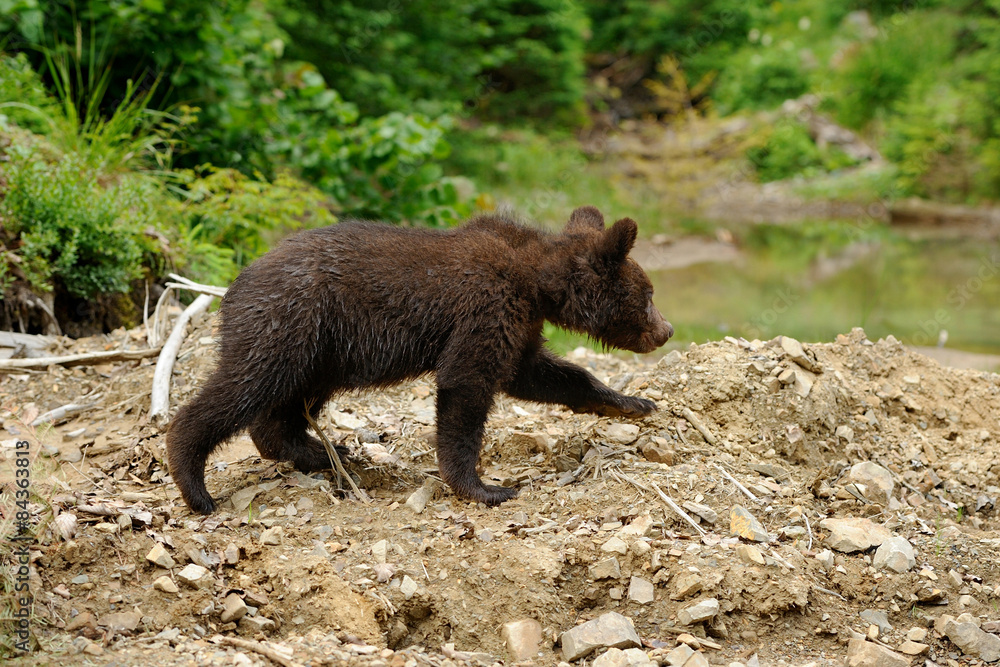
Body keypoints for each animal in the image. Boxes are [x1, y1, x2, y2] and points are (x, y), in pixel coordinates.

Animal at [166, 206, 673, 514]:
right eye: (648, 294)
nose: (666, 330)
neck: (536, 284)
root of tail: (236, 282)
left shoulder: (519, 326)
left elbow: (542, 374)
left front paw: (630, 402)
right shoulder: (485, 308)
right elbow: (465, 387)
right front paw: (486, 487)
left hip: (322, 351)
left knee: (286, 404)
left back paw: (322, 452)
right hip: (290, 325)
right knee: (242, 386)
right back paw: (196, 485)